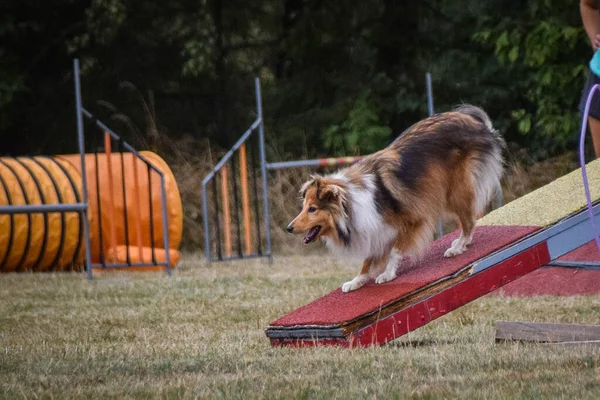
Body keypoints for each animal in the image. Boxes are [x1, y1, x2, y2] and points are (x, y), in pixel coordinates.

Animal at [288, 105, 504, 294]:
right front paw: (356, 281)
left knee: (469, 220)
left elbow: (394, 251)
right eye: (304, 207)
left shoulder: (414, 219)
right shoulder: (373, 227)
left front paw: (387, 274)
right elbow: (368, 258)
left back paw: (458, 246)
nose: (289, 228)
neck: (351, 204)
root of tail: (476, 122)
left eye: (312, 209)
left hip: (454, 192)